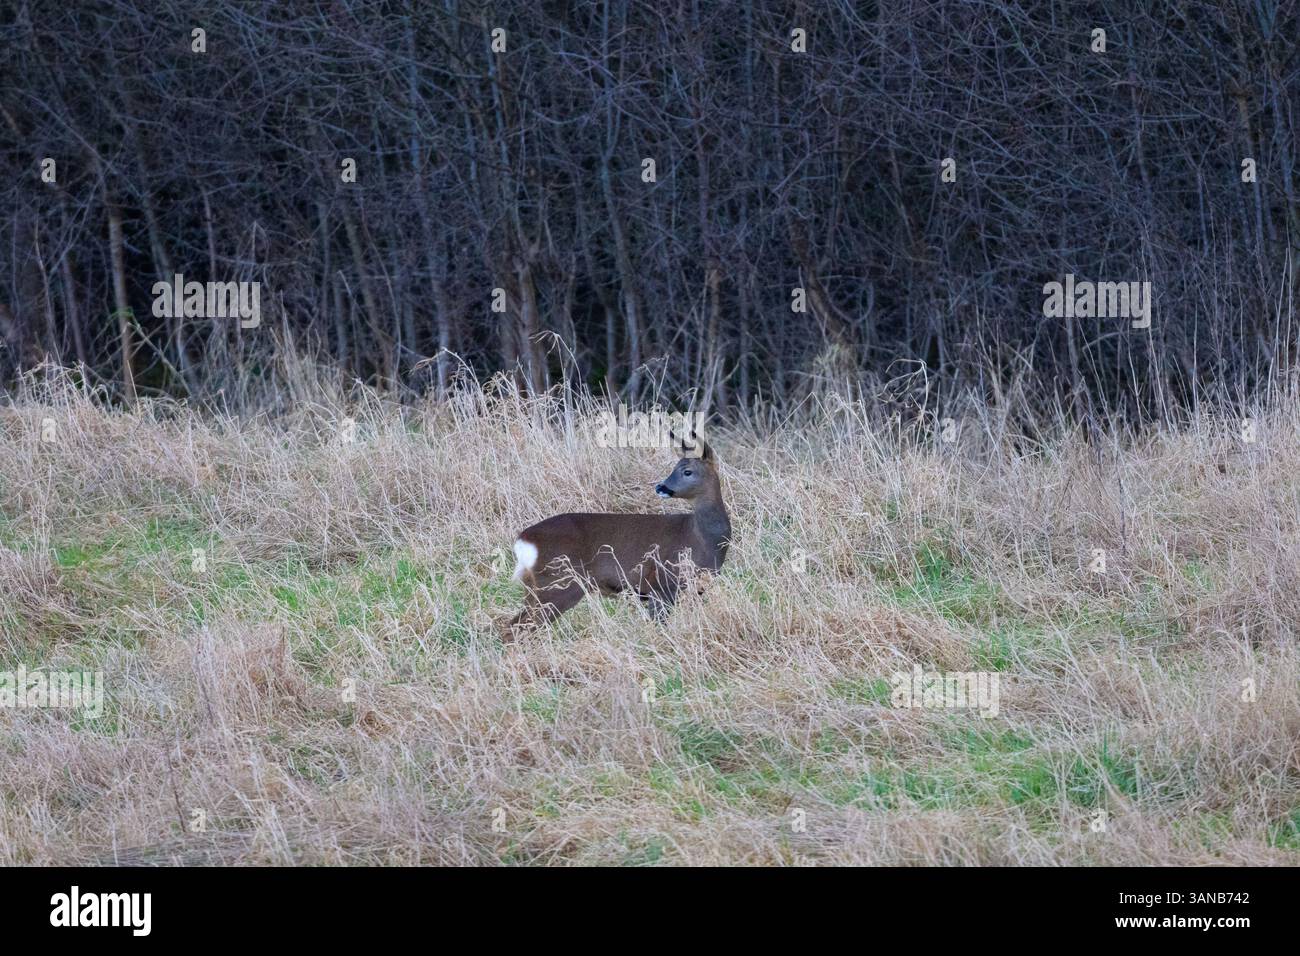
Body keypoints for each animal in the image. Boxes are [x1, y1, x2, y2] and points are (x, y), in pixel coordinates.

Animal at [504, 434, 730, 633]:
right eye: (676, 468)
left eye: (687, 471)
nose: (660, 487)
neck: (703, 539)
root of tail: (523, 541)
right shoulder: (662, 583)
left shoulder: (695, 590)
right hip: (558, 583)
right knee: (517, 628)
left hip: (537, 587)